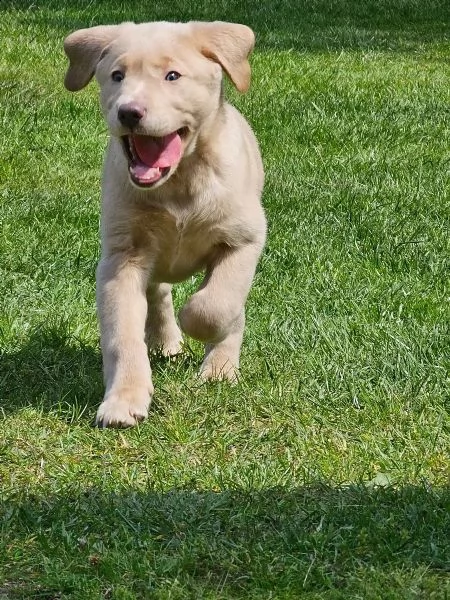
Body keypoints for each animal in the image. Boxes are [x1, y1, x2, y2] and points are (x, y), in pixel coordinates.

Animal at [64, 21, 268, 426]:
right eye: (117, 76)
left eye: (172, 76)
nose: (129, 112)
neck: (179, 182)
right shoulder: (121, 258)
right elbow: (122, 335)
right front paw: (123, 400)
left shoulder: (244, 240)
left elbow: (213, 306)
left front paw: (198, 323)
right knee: (158, 293)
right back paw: (165, 341)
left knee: (230, 309)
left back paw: (220, 369)